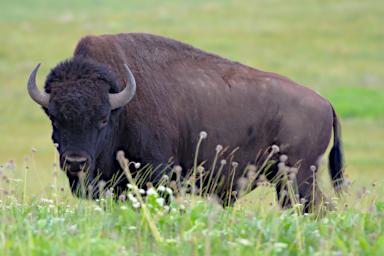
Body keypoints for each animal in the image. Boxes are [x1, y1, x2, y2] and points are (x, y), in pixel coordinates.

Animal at [27, 33, 344, 211]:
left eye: (102, 119)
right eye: (54, 117)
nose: (76, 162)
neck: (122, 106)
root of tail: (325, 103)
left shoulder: (158, 178)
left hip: (296, 179)